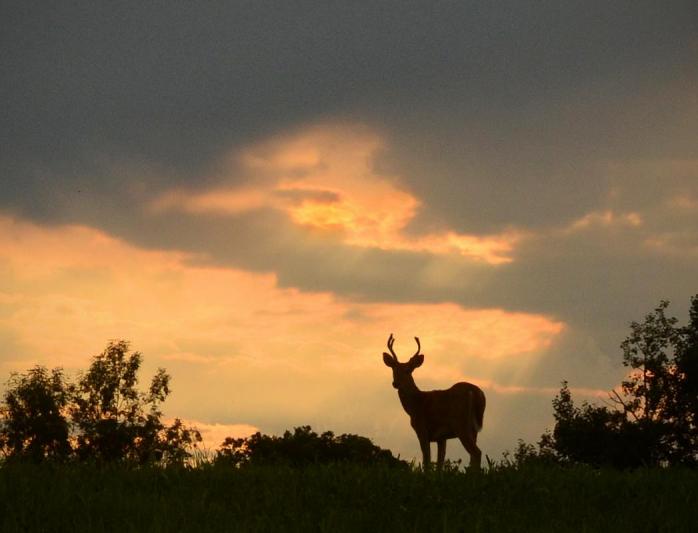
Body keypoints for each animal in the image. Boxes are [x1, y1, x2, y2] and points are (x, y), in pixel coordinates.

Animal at [382, 334, 486, 470]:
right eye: (393, 369)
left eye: (408, 370)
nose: (395, 383)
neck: (415, 405)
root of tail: (476, 393)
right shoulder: (441, 437)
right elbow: (439, 463)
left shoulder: (422, 429)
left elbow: (427, 460)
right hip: (473, 430)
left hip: (461, 424)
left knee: (476, 452)